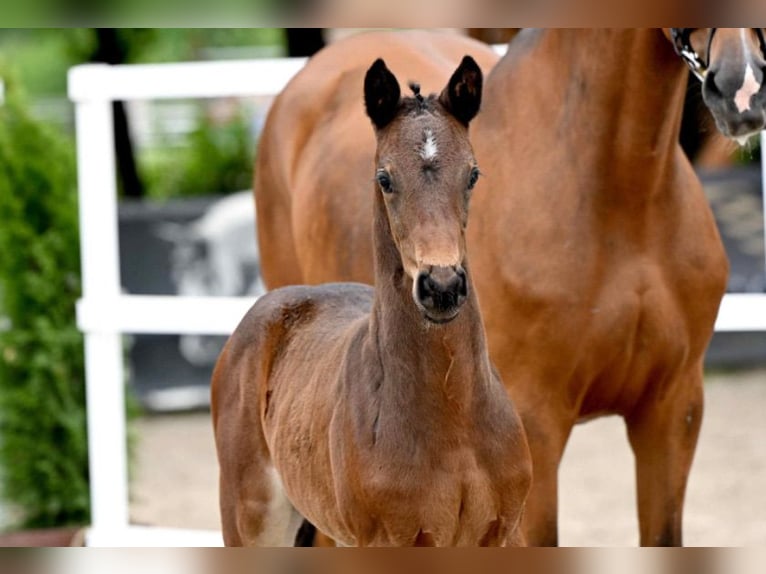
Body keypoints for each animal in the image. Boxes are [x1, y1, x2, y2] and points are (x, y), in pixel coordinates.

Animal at [213, 57, 532, 548]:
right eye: (385, 178)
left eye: (473, 174)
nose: (442, 286)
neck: (456, 418)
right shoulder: (387, 539)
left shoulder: (503, 533)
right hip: (251, 518)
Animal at [256, 28, 760, 548]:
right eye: (386, 180)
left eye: (473, 175)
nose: (741, 88)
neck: (624, 203)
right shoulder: (538, 425)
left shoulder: (673, 409)